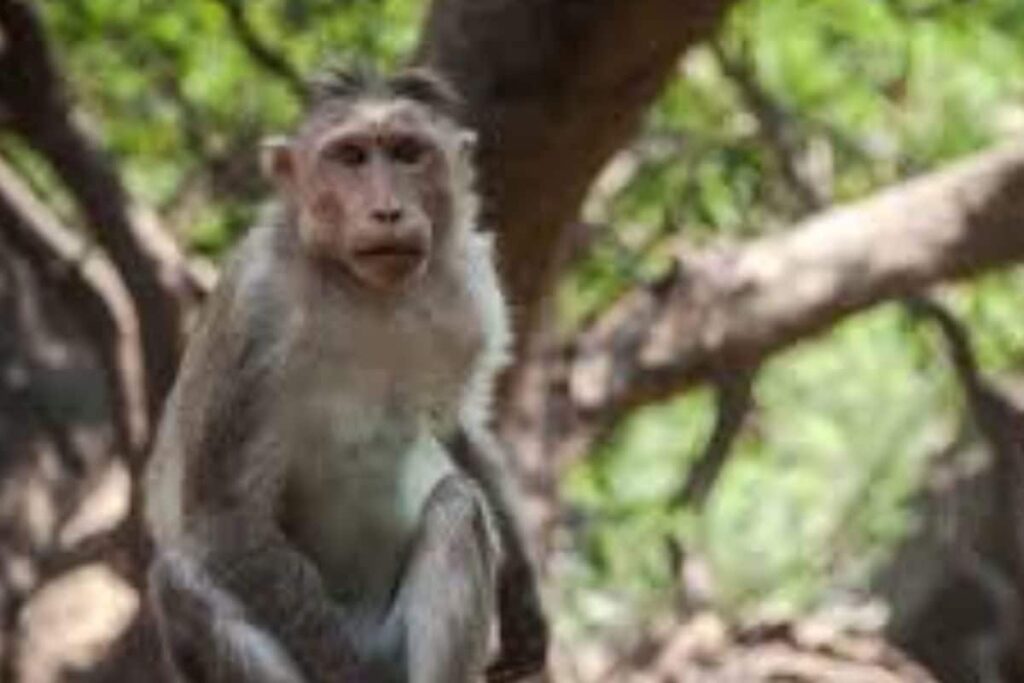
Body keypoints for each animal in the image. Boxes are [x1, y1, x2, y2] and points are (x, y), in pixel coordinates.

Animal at [143, 66, 548, 683]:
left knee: (457, 507)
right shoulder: (256, 309)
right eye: (351, 157)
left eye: (408, 153)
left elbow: (458, 429)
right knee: (180, 582)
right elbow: (225, 518)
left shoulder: (471, 289)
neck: (362, 289)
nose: (388, 211)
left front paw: (523, 596)